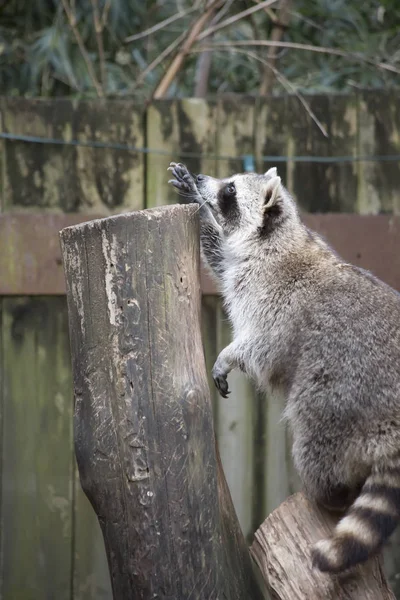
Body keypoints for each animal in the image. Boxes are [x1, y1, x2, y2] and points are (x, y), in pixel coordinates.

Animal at [167, 159, 400, 572]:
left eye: (231, 191)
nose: (202, 180)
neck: (279, 235)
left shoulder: (275, 297)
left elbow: (262, 345)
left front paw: (229, 356)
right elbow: (221, 259)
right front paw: (193, 197)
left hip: (342, 391)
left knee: (314, 427)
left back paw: (326, 492)